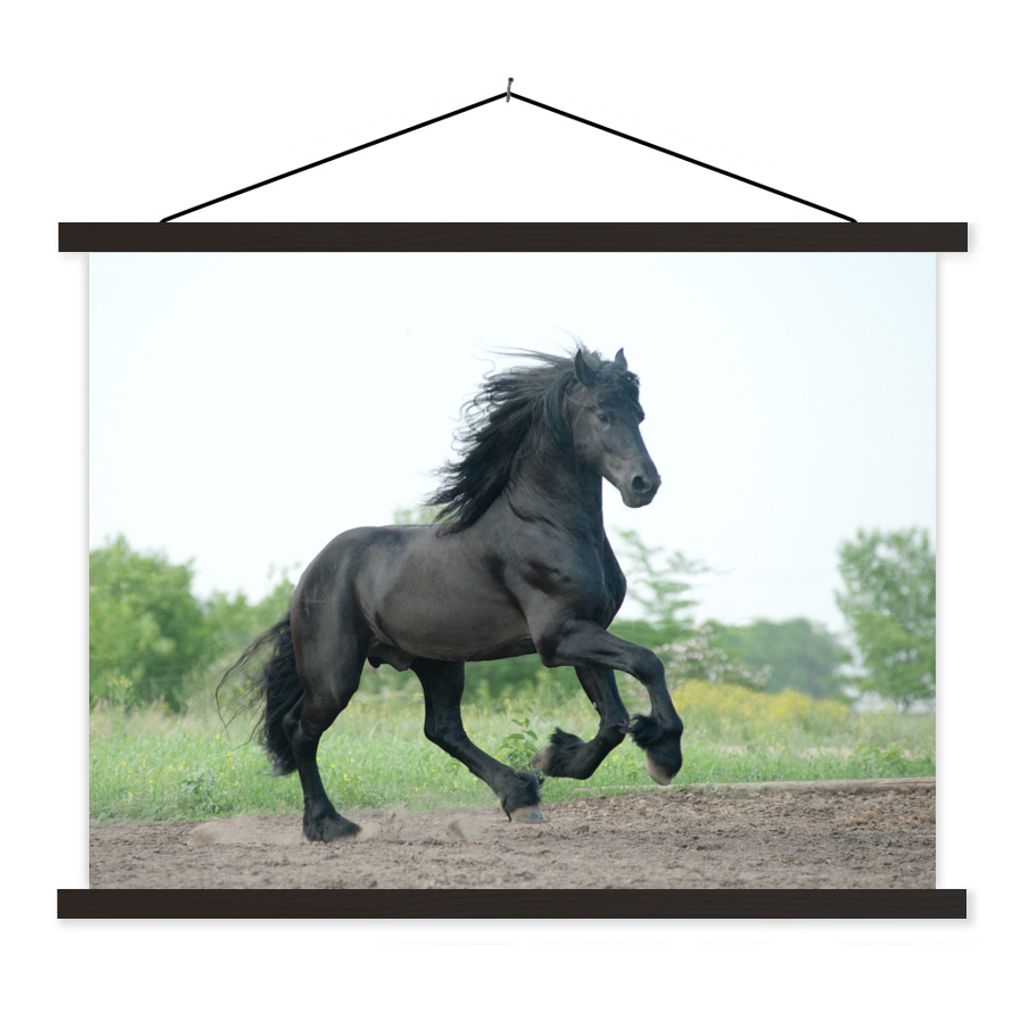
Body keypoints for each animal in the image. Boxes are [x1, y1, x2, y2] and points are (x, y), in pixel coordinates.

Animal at [224, 346, 684, 841]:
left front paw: (555, 757)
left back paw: (520, 795)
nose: (645, 484)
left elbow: (614, 719)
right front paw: (664, 755)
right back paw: (329, 824)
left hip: (437, 662)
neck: (545, 525)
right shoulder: (559, 638)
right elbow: (647, 663)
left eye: (639, 414)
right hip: (335, 674)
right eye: (602, 413)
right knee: (301, 729)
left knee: (442, 729)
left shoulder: (583, 631)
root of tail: (310, 575)